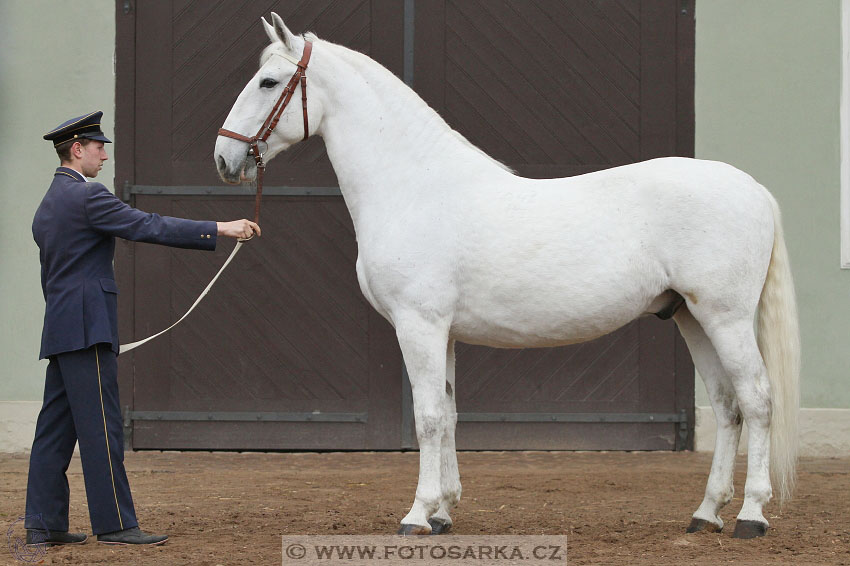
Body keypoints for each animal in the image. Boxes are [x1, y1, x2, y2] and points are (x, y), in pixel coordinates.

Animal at [215, 14, 800, 540]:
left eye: (269, 82)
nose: (224, 157)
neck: (415, 187)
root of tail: (752, 187)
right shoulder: (444, 332)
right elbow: (449, 413)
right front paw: (443, 513)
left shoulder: (419, 325)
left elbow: (428, 416)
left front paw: (416, 515)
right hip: (690, 317)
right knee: (727, 406)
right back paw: (705, 514)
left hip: (725, 318)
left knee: (757, 400)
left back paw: (751, 517)